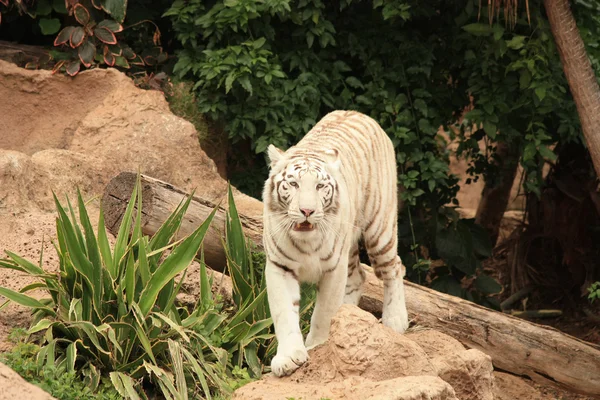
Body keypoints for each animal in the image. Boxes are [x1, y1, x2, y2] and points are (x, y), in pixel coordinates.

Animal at [264, 110, 410, 378]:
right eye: (293, 184)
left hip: (379, 230)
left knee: (395, 266)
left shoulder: (333, 268)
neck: (306, 242)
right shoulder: (280, 267)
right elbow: (284, 313)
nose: (307, 211)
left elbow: (323, 312)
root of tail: (361, 114)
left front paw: (318, 345)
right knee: (359, 277)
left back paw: (395, 320)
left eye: (320, 186)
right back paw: (348, 316)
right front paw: (288, 358)